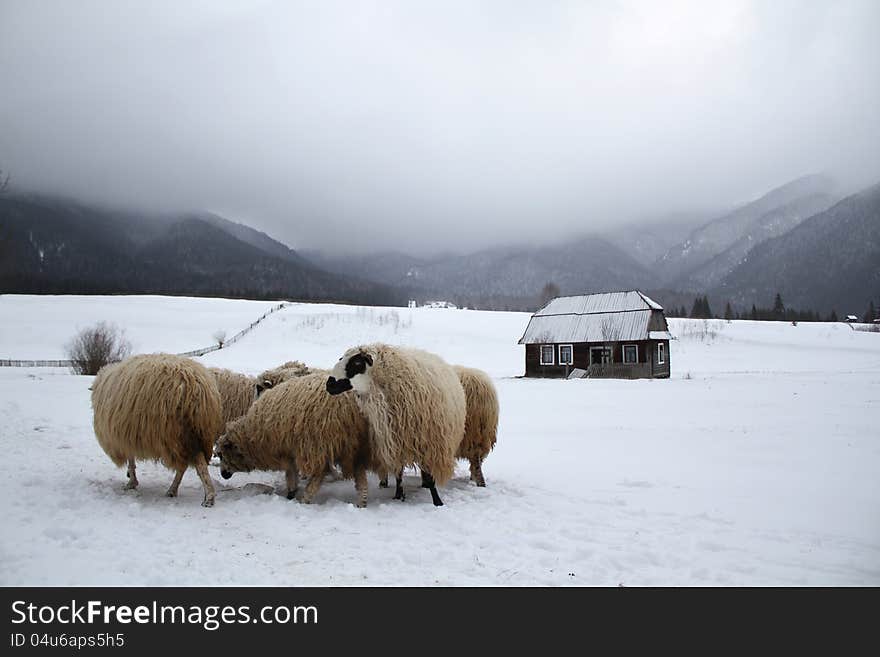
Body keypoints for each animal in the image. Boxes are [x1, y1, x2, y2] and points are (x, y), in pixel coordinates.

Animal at [91, 354, 223, 508]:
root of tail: (198, 386)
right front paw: (131, 479)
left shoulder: (125, 436)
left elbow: (130, 460)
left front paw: (131, 481)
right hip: (193, 434)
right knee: (185, 465)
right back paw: (174, 491)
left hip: (180, 433)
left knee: (196, 466)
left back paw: (207, 497)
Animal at [219, 368, 374, 508]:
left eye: (221, 455)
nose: (223, 474)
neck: (251, 434)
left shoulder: (288, 448)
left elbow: (291, 472)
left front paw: (291, 493)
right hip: (357, 444)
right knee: (360, 475)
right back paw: (362, 502)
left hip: (318, 441)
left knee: (320, 473)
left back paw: (306, 498)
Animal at [326, 344, 468, 508]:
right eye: (341, 358)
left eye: (357, 363)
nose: (329, 384)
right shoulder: (395, 441)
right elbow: (399, 473)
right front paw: (399, 495)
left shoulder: (427, 444)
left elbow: (429, 476)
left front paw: (437, 502)